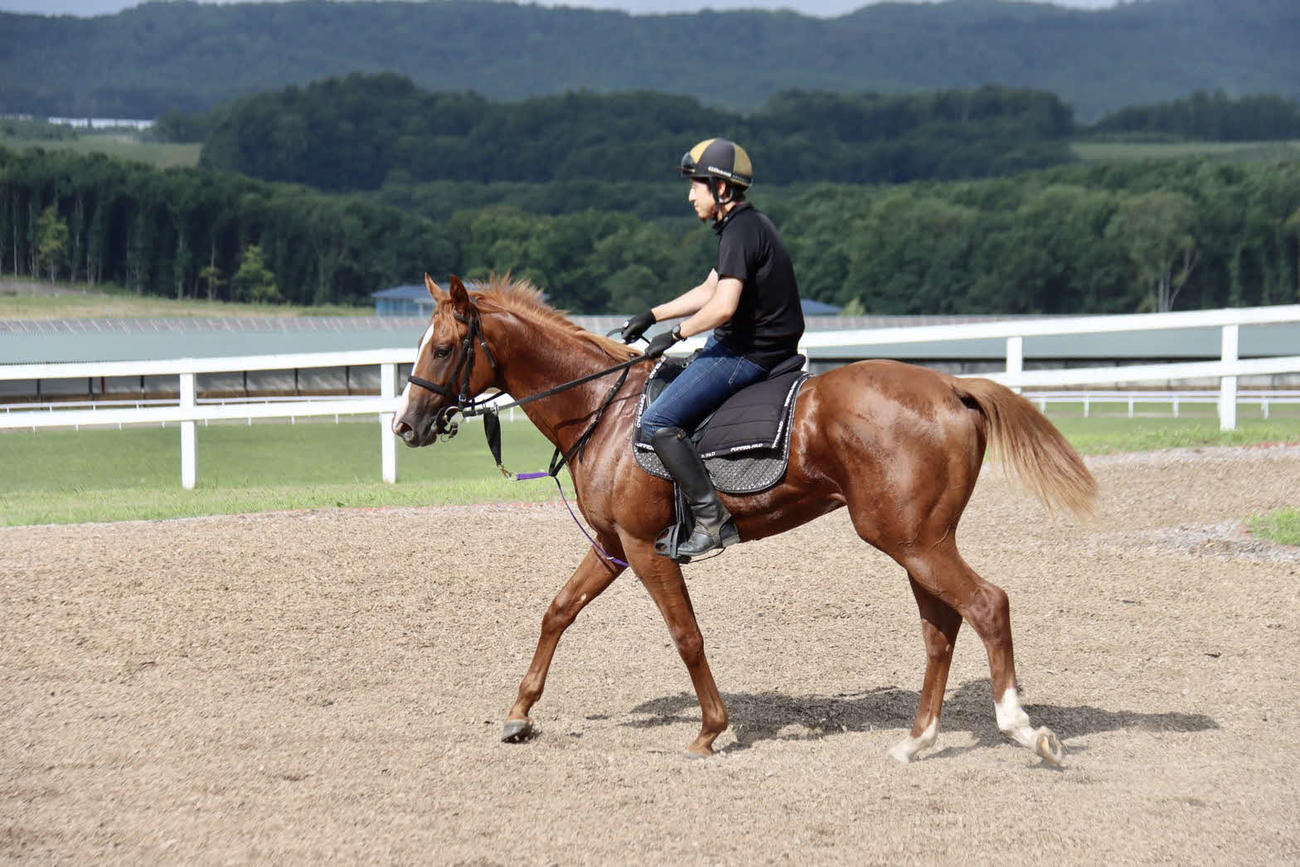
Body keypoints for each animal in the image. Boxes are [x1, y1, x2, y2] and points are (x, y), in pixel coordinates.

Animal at [393, 274, 1097, 764]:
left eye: (446, 349)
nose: (406, 426)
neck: (602, 408)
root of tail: (951, 386)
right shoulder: (611, 544)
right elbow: (557, 612)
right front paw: (519, 713)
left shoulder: (645, 549)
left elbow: (686, 636)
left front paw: (709, 731)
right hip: (917, 541)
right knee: (942, 627)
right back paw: (916, 741)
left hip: (913, 540)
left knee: (987, 605)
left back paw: (1022, 730)